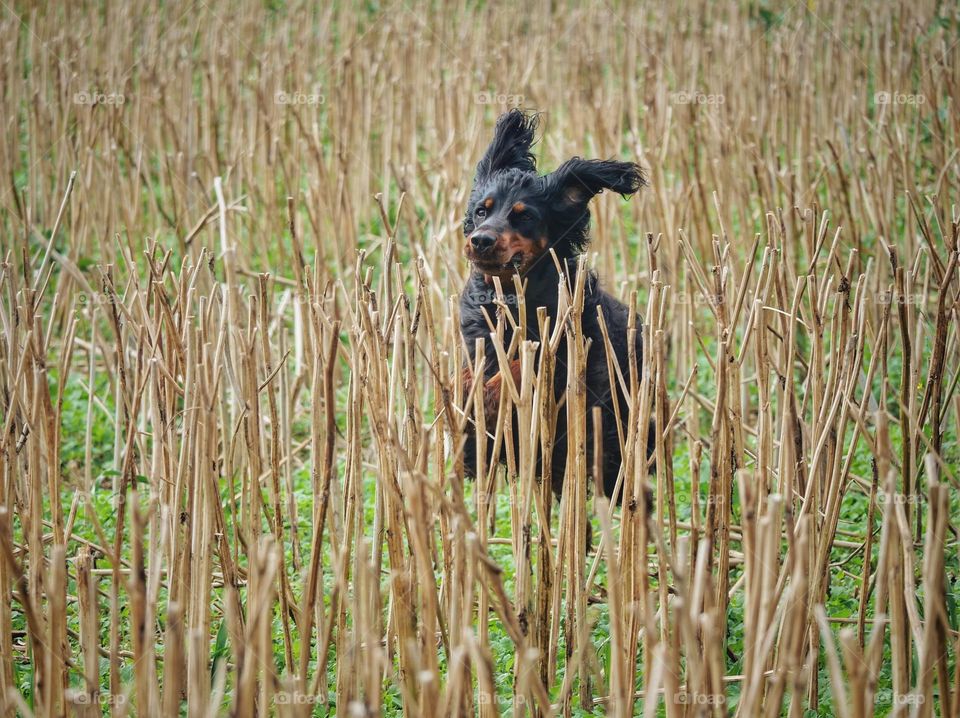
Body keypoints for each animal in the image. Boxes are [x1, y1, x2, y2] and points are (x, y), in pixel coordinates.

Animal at [462, 109, 648, 504]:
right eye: (482, 211)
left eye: (524, 216)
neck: (514, 297)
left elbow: (519, 368)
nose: (480, 240)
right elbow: (478, 375)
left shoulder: (564, 354)